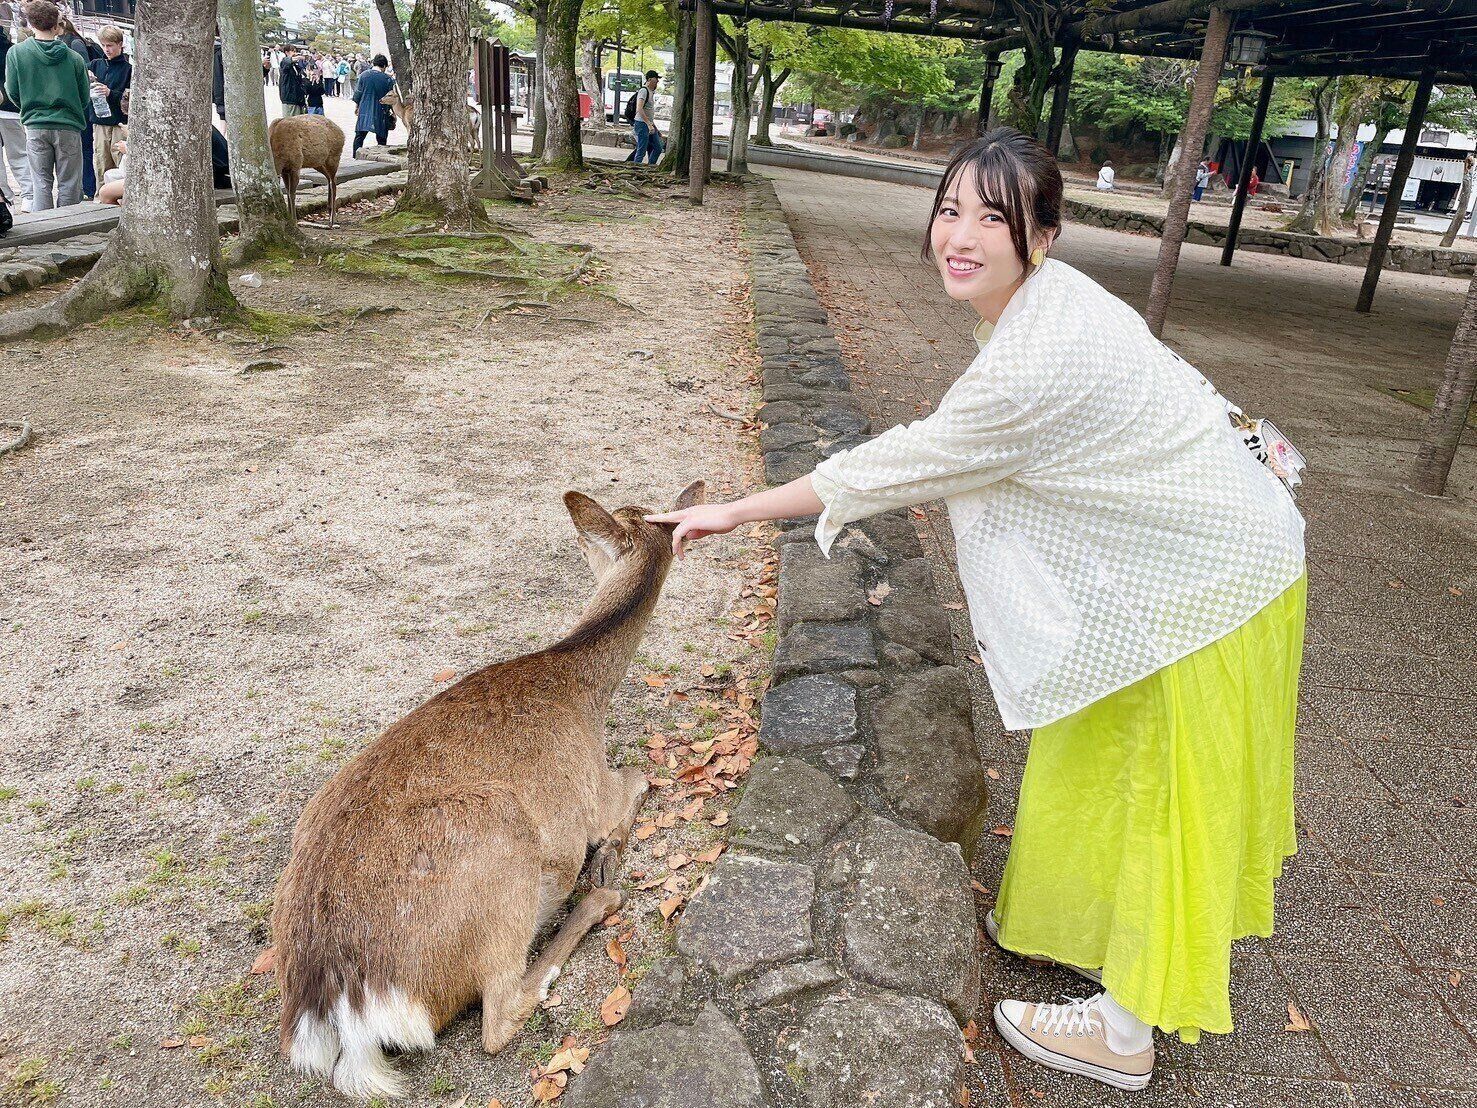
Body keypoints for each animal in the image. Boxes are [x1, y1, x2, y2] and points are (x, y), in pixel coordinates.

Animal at [270, 482, 705, 1099]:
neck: (585, 691)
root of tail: (339, 1004)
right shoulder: (594, 790)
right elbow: (641, 778)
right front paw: (608, 856)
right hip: (502, 848)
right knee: (499, 1015)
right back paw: (597, 896)